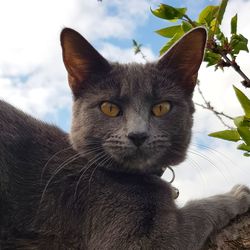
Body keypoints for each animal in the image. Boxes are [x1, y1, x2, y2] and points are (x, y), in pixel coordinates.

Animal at [0, 26, 249, 249]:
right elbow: (197, 211)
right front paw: (238, 194)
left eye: (161, 107)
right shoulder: (133, 239)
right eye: (109, 108)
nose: (138, 134)